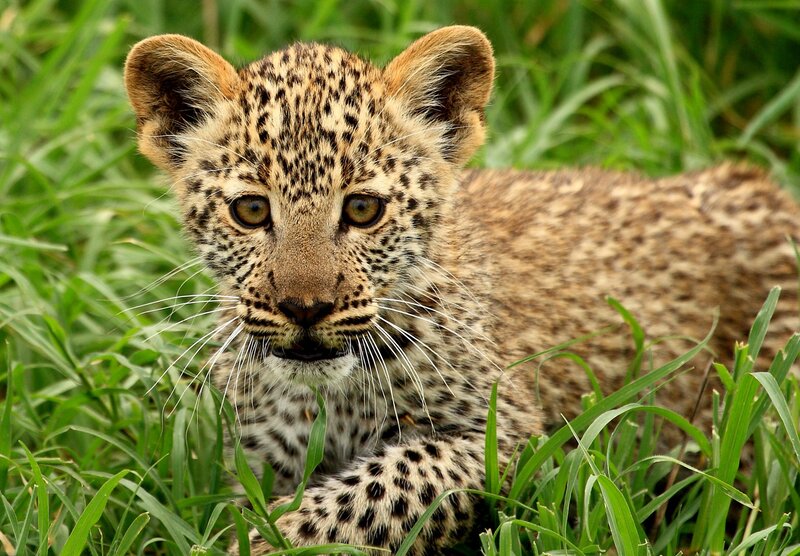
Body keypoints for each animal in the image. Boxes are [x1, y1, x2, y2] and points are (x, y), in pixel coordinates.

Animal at [124, 26, 800, 554]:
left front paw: (267, 541)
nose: (305, 308)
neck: (329, 400)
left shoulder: (524, 438)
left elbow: (384, 484)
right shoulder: (254, 459)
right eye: (251, 210)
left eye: (363, 209)